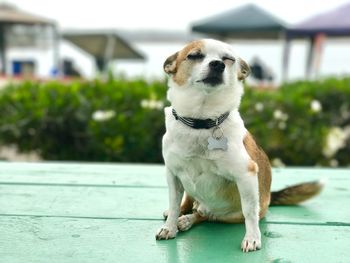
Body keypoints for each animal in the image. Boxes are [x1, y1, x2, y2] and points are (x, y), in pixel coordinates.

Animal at [155, 39, 322, 254]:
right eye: (194, 56)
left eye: (229, 59)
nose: (218, 64)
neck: (201, 121)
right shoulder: (173, 174)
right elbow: (175, 203)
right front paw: (169, 227)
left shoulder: (246, 174)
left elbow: (249, 212)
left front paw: (252, 238)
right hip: (188, 187)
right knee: (188, 203)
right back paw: (181, 217)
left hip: (229, 214)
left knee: (206, 215)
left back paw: (187, 220)